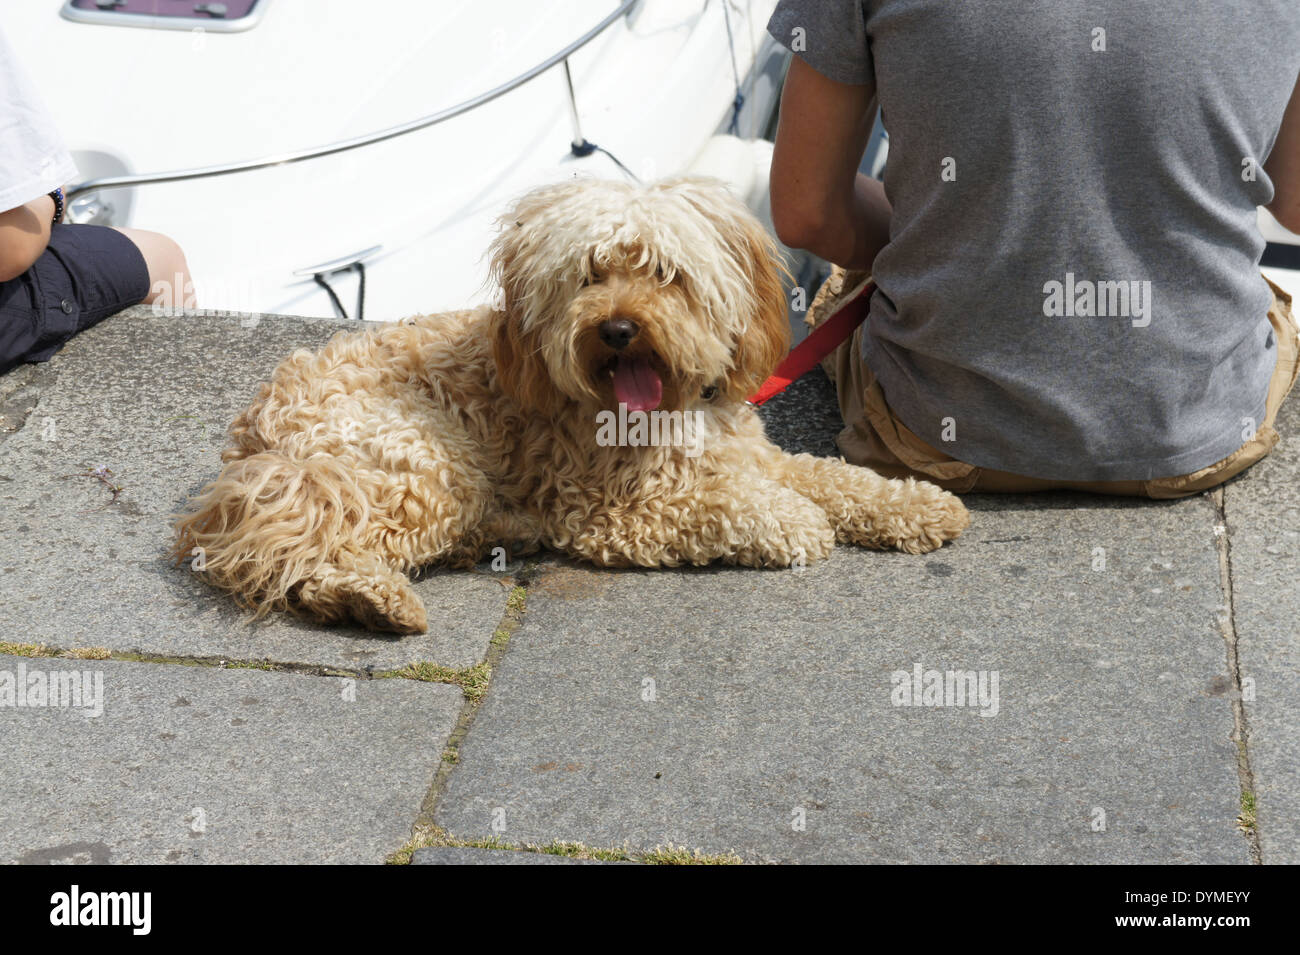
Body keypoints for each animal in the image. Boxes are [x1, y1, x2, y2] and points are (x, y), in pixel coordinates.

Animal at [170, 178, 967, 634]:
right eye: (588, 275)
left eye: (666, 274)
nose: (616, 328)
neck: (670, 410)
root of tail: (255, 443)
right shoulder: (612, 509)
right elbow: (731, 505)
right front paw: (794, 522)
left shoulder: (750, 453)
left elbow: (833, 477)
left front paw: (916, 506)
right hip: (418, 465)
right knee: (307, 555)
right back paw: (374, 600)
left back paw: (498, 534)